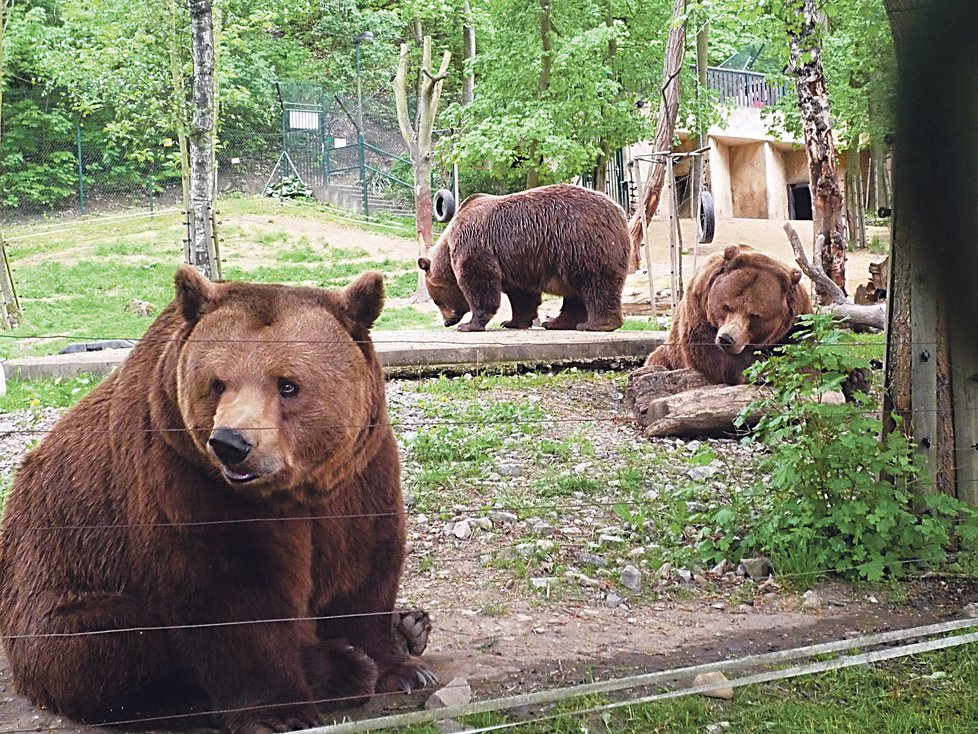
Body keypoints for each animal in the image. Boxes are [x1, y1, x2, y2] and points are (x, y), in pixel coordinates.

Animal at [0, 268, 434, 734]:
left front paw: (402, 668)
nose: (231, 444)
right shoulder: (190, 484)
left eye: (287, 385)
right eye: (217, 383)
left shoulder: (358, 475)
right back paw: (339, 668)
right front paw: (281, 711)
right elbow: (234, 595)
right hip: (57, 593)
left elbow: (364, 565)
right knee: (111, 642)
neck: (292, 488)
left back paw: (410, 626)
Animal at [416, 184, 628, 334]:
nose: (447, 321)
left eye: (437, 301)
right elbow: (522, 296)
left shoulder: (474, 244)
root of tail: (620, 211)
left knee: (596, 285)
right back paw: (555, 322)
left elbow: (480, 282)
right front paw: (511, 322)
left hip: (582, 245)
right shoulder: (518, 262)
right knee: (576, 293)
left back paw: (596, 324)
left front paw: (468, 325)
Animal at [644, 246, 812, 388]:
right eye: (726, 306)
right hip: (667, 356)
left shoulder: (797, 320)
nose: (726, 338)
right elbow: (707, 349)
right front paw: (760, 370)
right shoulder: (698, 303)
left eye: (755, 315)